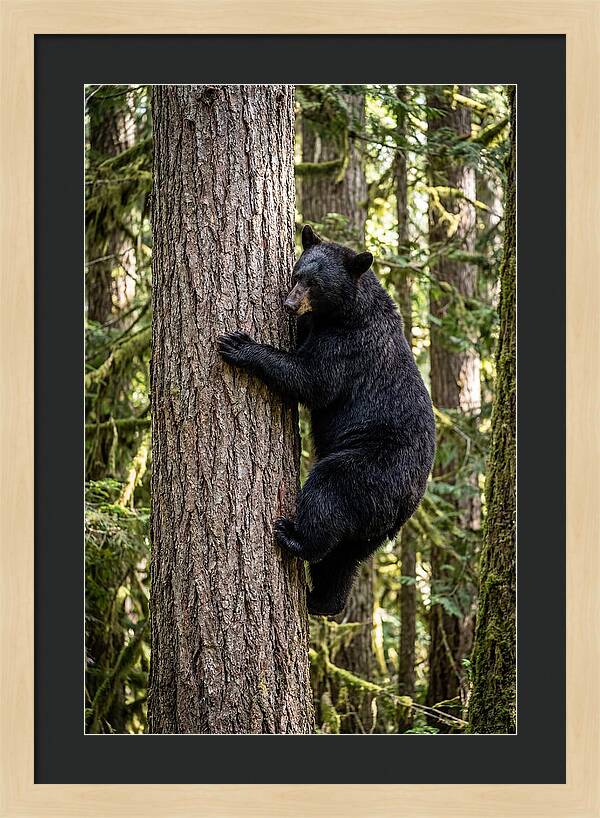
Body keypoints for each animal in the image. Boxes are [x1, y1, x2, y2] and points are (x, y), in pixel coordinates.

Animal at [218, 224, 436, 616]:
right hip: (372, 527)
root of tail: (407, 504)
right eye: (296, 274)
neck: (347, 312)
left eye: (315, 284)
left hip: (369, 469)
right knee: (344, 558)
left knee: (328, 494)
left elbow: (312, 379)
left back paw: (293, 537)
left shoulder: (348, 346)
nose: (289, 304)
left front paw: (240, 345)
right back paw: (323, 600)